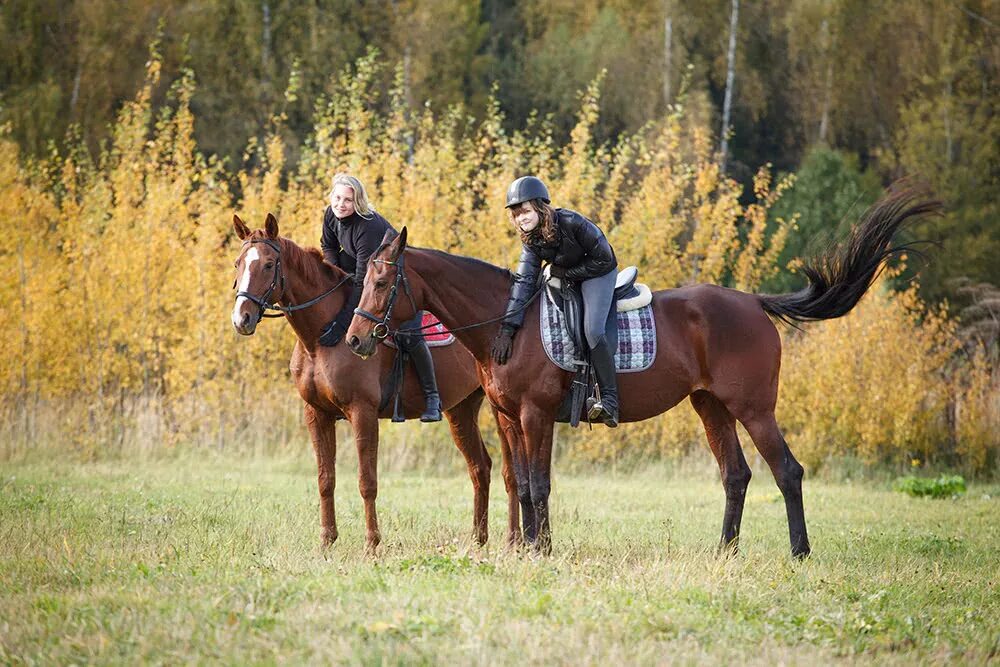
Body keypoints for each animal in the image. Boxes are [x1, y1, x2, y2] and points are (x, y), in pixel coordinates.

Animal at [229, 215, 520, 552]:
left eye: (268, 264)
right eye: (238, 263)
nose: (242, 319)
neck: (324, 336)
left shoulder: (363, 413)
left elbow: (367, 482)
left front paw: (371, 544)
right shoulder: (316, 414)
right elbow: (325, 479)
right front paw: (327, 541)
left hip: (500, 410)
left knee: (511, 473)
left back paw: (514, 540)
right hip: (461, 409)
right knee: (479, 467)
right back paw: (478, 540)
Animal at [344, 185, 936, 556]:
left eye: (383, 280)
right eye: (364, 277)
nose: (354, 339)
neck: (506, 325)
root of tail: (752, 302)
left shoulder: (536, 415)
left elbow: (538, 484)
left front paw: (539, 551)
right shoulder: (509, 417)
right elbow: (524, 483)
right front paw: (531, 547)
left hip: (752, 406)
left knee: (787, 471)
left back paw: (799, 552)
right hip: (710, 406)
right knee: (737, 475)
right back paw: (724, 552)